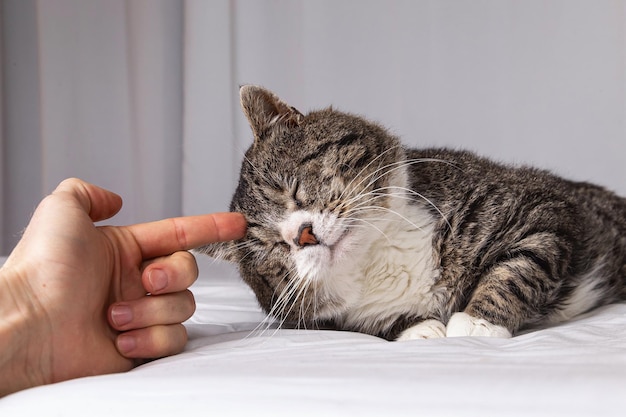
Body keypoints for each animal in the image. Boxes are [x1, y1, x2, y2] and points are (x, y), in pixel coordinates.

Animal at [197, 85, 620, 342]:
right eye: (272, 248)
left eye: (292, 190)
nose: (303, 235)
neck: (379, 255)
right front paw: (419, 329)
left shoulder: (543, 210)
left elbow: (517, 270)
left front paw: (478, 323)